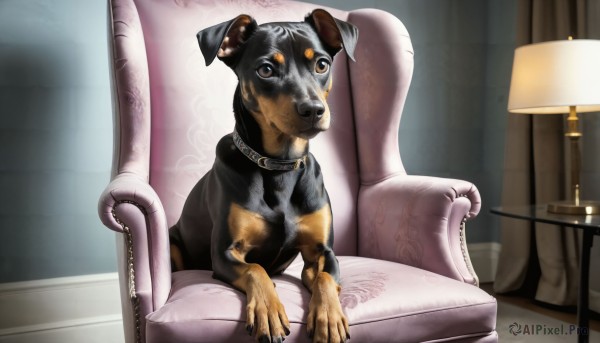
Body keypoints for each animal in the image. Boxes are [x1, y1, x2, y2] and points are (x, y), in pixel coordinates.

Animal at [169, 8, 356, 343]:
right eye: (266, 70)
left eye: (321, 64)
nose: (313, 110)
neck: (280, 164)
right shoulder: (225, 254)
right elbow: (255, 270)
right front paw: (268, 311)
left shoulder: (323, 252)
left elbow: (324, 276)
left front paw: (329, 318)